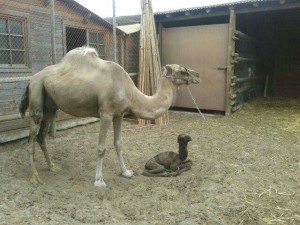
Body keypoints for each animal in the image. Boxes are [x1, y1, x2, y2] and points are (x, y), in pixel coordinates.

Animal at [19, 46, 200, 187]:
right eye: (182, 71)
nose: (198, 75)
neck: (129, 91)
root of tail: (32, 78)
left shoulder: (119, 114)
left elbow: (118, 143)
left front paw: (126, 172)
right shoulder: (105, 113)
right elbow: (101, 148)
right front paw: (99, 180)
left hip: (50, 106)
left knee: (41, 137)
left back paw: (52, 166)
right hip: (37, 96)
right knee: (30, 141)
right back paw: (35, 178)